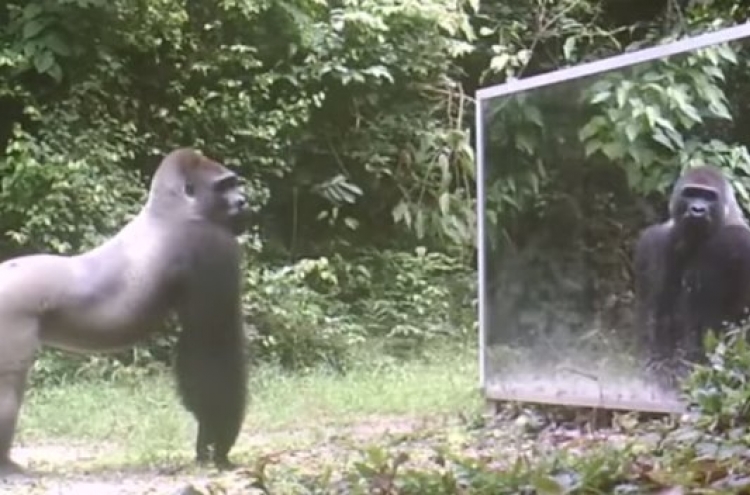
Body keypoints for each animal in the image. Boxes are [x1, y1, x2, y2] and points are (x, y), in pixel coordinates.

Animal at [0, 148, 253, 476]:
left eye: (235, 183)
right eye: (224, 186)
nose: (243, 201)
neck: (172, 209)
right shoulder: (212, 245)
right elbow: (212, 349)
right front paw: (217, 444)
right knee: (8, 385)